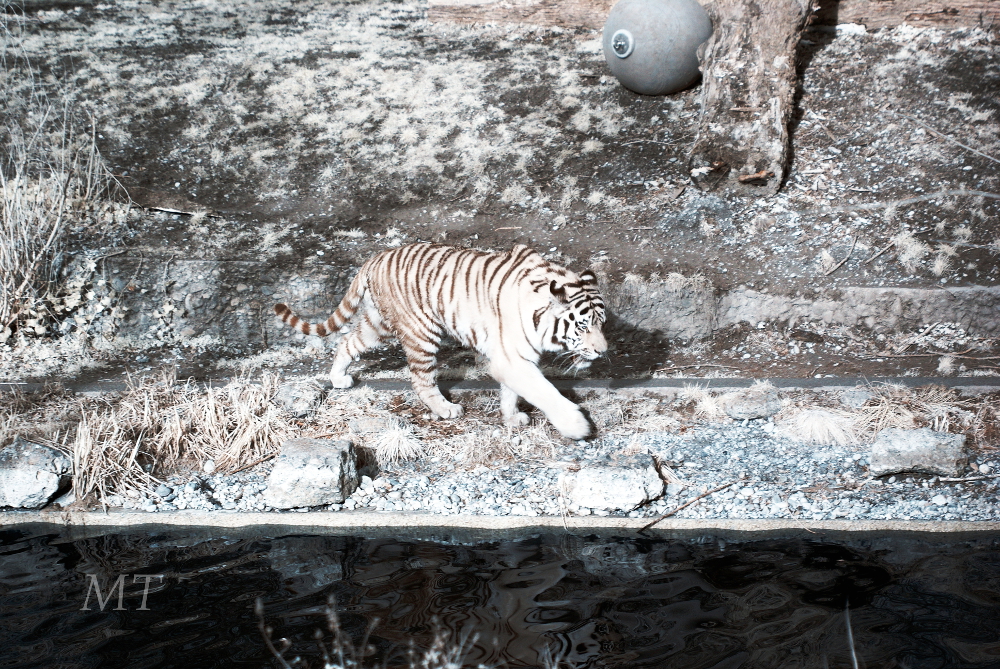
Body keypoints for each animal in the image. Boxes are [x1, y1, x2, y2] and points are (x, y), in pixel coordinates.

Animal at [276, 243, 608, 440]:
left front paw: (511, 417)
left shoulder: (513, 357)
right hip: (422, 331)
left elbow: (513, 392)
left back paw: (338, 379)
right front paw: (576, 425)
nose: (603, 351)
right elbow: (544, 391)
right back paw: (446, 409)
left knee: (348, 341)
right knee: (420, 379)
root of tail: (375, 257)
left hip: (377, 324)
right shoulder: (513, 359)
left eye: (601, 323)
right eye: (582, 326)